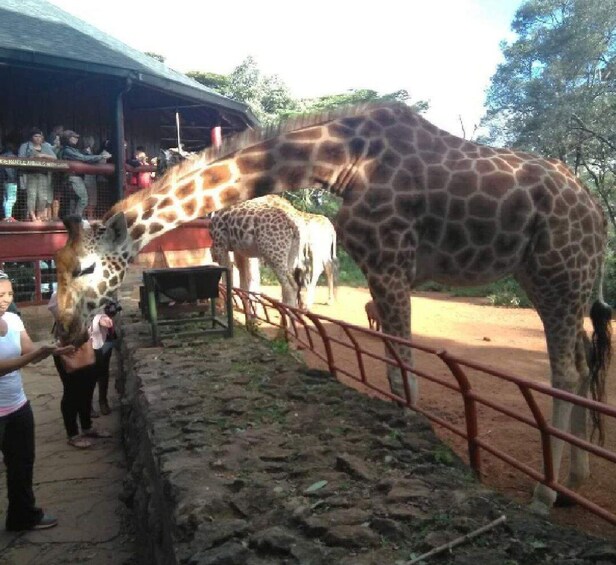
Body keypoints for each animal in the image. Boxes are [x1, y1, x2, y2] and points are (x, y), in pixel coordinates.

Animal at [53, 102, 612, 516]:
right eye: (55, 265)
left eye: (84, 267)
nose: (63, 329)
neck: (340, 162)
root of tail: (597, 212)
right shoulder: (378, 266)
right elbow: (392, 363)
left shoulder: (390, 260)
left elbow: (402, 367)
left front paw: (419, 437)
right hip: (546, 275)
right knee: (581, 360)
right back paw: (576, 480)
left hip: (561, 269)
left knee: (564, 370)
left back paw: (545, 493)